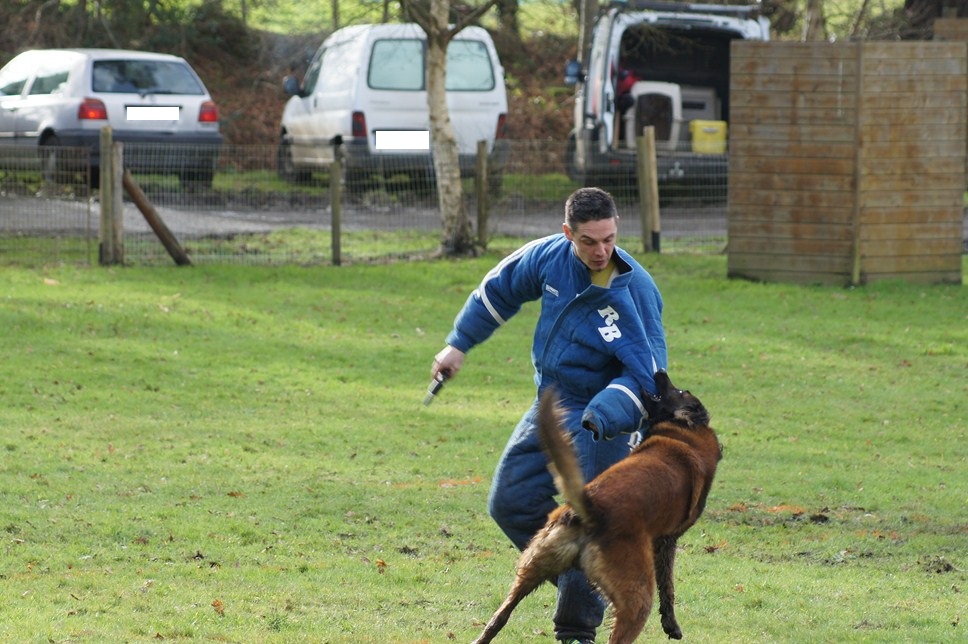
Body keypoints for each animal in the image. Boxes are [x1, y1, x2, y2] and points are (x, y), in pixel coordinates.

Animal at [472, 372, 724, 644]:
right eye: (680, 391)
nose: (660, 373)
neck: (686, 432)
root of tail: (590, 507)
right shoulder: (666, 541)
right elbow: (668, 588)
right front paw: (671, 625)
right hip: (636, 598)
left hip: (532, 569)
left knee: (499, 617)